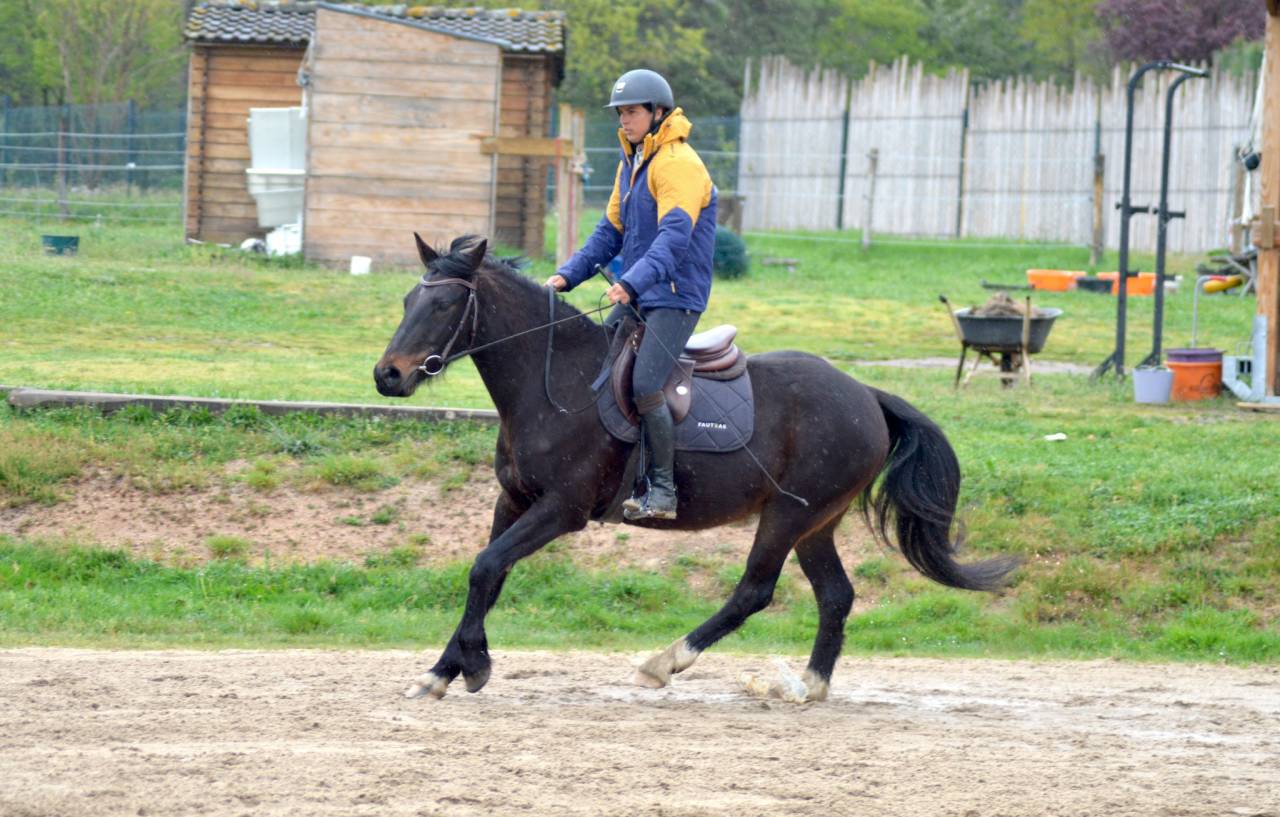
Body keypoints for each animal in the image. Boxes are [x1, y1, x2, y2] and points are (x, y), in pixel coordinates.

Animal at [374, 234, 1016, 702]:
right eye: (407, 302)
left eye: (445, 304)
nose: (388, 375)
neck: (555, 383)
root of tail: (866, 394)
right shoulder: (514, 500)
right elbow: (490, 574)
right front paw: (445, 669)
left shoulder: (561, 510)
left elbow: (485, 567)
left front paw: (471, 665)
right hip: (816, 523)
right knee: (836, 595)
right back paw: (807, 686)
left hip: (787, 514)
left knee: (754, 591)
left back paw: (665, 662)